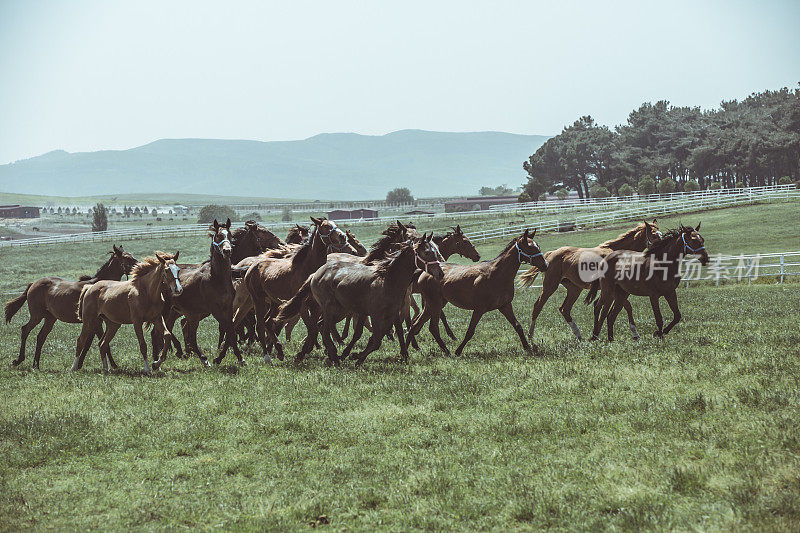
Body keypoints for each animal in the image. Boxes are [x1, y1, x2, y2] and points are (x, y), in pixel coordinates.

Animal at [3, 243, 138, 368]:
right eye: (127, 258)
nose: (139, 265)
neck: (102, 287)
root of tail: (33, 284)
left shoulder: (94, 322)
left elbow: (90, 343)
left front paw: (80, 364)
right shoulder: (96, 322)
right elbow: (102, 342)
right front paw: (113, 365)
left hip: (50, 318)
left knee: (40, 337)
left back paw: (36, 365)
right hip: (37, 316)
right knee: (25, 330)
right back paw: (19, 360)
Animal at [231, 216, 346, 362]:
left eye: (335, 224)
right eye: (326, 226)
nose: (343, 236)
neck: (307, 268)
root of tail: (250, 267)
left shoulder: (316, 306)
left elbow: (314, 329)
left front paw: (306, 351)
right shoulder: (302, 306)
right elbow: (312, 329)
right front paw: (302, 353)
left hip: (274, 303)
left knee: (268, 322)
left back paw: (279, 350)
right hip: (257, 300)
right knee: (259, 325)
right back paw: (266, 355)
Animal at [276, 233, 444, 366]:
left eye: (436, 251)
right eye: (427, 252)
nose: (441, 273)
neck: (388, 280)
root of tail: (315, 274)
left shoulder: (391, 314)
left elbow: (383, 335)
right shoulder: (375, 315)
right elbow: (376, 340)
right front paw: (355, 356)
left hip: (338, 310)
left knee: (320, 328)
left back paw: (321, 354)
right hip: (330, 309)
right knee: (324, 330)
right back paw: (333, 356)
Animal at [406, 228, 552, 356]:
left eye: (538, 246)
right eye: (530, 247)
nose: (545, 265)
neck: (497, 274)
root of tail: (425, 272)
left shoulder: (505, 306)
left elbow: (518, 326)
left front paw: (527, 347)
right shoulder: (479, 309)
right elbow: (470, 331)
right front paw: (458, 351)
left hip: (433, 305)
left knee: (416, 326)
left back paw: (410, 350)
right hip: (435, 305)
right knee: (432, 327)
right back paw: (444, 351)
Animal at [520, 219, 664, 340]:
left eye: (661, 234)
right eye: (654, 235)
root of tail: (550, 255)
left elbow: (626, 307)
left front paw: (634, 333)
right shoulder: (612, 290)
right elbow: (614, 307)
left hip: (574, 289)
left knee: (564, 309)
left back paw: (579, 335)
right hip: (550, 287)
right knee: (538, 306)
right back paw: (530, 336)